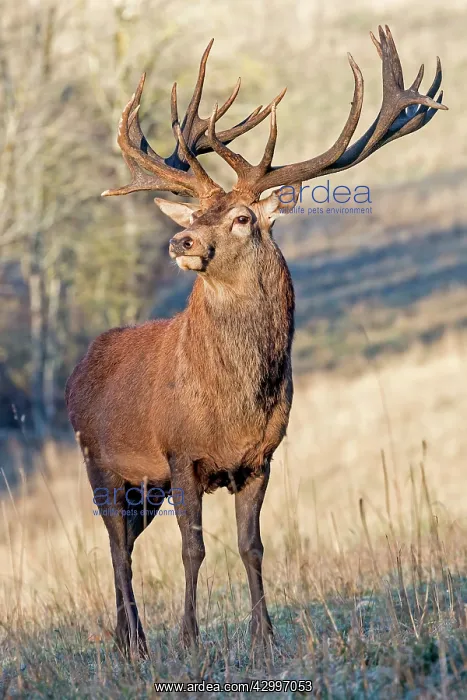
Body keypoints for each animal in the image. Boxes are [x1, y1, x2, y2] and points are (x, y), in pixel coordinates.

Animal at [65, 26, 446, 659]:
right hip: (100, 462)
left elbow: (252, 546)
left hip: (144, 486)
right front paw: (190, 639)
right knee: (117, 547)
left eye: (243, 217)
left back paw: (125, 640)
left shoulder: (262, 457)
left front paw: (263, 637)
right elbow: (193, 548)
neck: (233, 407)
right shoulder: (180, 452)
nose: (182, 241)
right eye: (195, 211)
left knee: (128, 544)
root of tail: (77, 371)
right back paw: (135, 642)